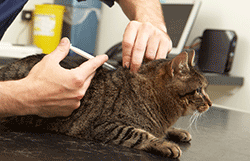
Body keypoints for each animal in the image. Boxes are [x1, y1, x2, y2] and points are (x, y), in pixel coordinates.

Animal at [0, 51, 211, 158]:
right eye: (199, 90)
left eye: (205, 88)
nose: (210, 103)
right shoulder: (106, 126)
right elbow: (140, 134)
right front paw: (163, 143)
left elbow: (163, 130)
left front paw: (176, 131)